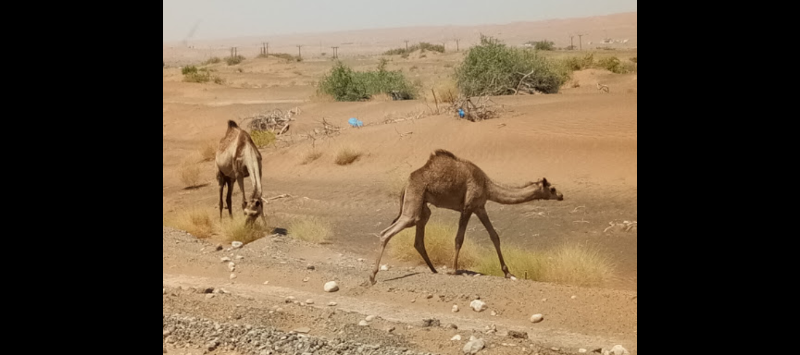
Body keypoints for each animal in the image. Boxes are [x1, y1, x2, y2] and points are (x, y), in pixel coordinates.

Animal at [368, 150, 564, 286]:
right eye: (552, 188)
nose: (561, 195)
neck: (487, 186)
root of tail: (405, 183)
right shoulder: (468, 207)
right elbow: (459, 238)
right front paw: (454, 270)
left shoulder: (480, 207)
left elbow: (494, 236)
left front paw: (508, 273)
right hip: (414, 203)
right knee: (386, 233)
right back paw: (372, 276)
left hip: (422, 206)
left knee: (418, 238)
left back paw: (434, 270)